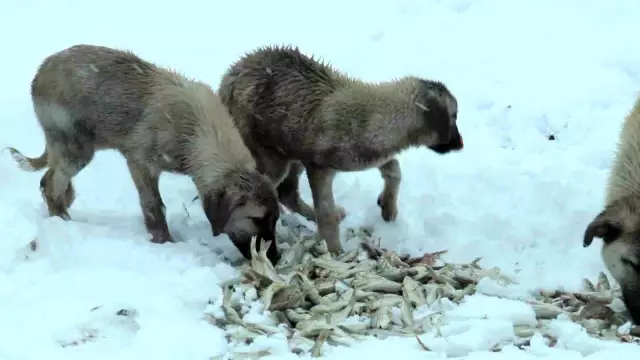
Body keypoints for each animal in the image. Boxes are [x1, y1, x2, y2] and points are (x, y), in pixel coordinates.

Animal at [5, 45, 280, 262]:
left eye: (275, 219)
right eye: (256, 219)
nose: (275, 258)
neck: (196, 133)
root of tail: (42, 69)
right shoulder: (140, 163)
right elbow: (153, 206)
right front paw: (164, 243)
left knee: (51, 180)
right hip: (76, 147)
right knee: (52, 183)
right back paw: (60, 222)